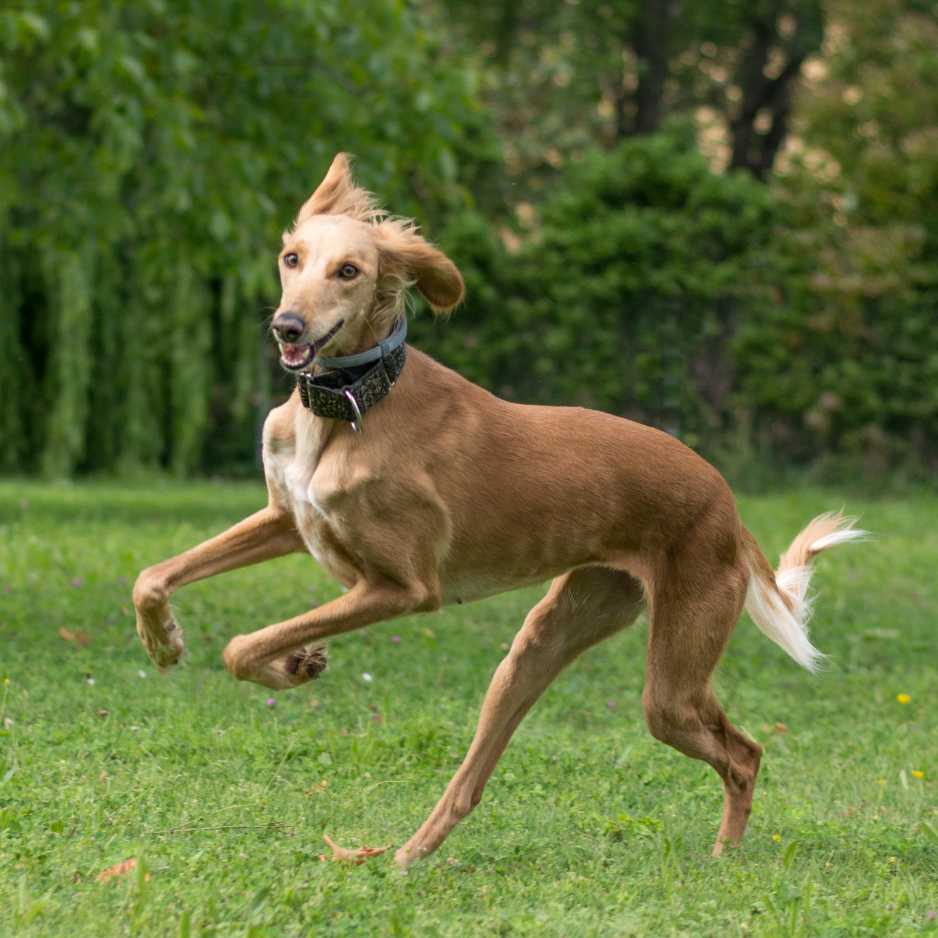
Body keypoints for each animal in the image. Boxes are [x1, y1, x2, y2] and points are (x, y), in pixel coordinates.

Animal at [133, 152, 864, 864]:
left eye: (348, 270)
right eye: (292, 258)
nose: (288, 326)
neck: (352, 406)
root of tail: (726, 501)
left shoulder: (402, 588)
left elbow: (240, 645)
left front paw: (290, 663)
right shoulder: (288, 522)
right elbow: (152, 578)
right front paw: (171, 644)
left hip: (672, 679)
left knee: (744, 752)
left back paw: (724, 857)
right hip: (546, 641)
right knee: (473, 782)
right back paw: (406, 855)